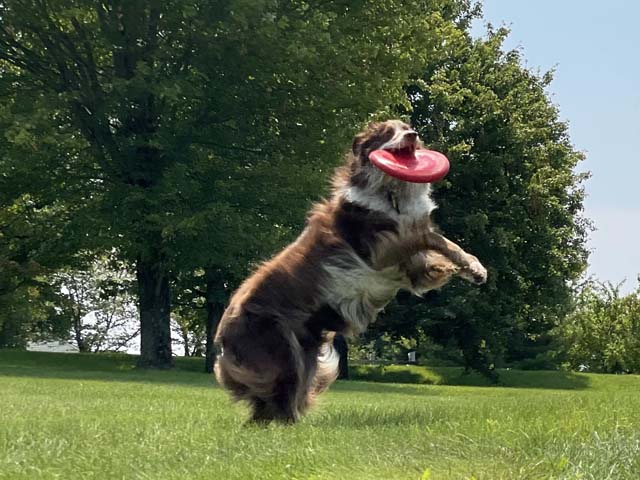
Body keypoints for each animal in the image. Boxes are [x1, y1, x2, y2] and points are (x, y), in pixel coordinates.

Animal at [214, 120, 487, 423]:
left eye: (407, 126)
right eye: (386, 133)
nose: (412, 134)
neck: (391, 192)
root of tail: (221, 333)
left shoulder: (411, 267)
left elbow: (443, 250)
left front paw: (473, 269)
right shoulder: (384, 249)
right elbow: (430, 235)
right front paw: (470, 265)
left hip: (303, 352)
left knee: (274, 404)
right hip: (280, 350)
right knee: (274, 400)